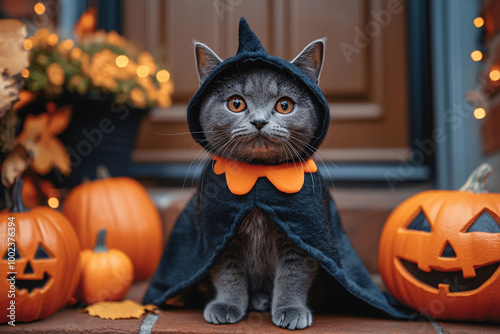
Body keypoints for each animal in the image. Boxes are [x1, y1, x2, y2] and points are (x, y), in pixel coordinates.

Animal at [193, 37, 326, 330]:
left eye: (285, 105)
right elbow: (227, 271)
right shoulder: (221, 234)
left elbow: (293, 273)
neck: (258, 178)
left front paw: (290, 309)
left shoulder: (299, 236)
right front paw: (227, 305)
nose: (259, 121)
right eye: (236, 103)